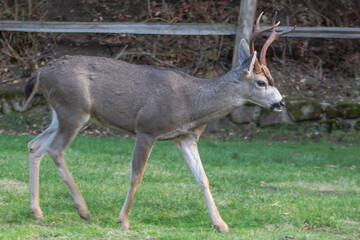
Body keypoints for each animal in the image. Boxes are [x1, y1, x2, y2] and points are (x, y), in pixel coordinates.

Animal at [21, 12, 294, 232]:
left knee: (35, 145)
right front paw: (123, 221)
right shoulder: (147, 128)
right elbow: (136, 174)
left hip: (61, 113)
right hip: (74, 108)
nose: (281, 103)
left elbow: (203, 178)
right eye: (261, 82)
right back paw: (83, 209)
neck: (192, 105)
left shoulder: (185, 137)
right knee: (56, 149)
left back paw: (37, 211)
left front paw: (221, 224)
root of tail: (41, 72)